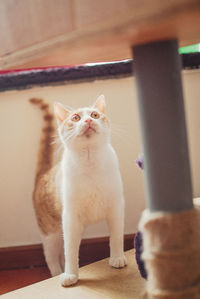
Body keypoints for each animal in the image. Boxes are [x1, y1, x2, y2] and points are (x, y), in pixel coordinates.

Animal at [30, 95, 127, 288]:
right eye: (75, 118)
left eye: (95, 114)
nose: (88, 120)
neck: (90, 162)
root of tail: (43, 174)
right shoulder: (70, 218)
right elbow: (71, 251)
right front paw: (70, 274)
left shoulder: (116, 207)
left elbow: (116, 237)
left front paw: (117, 258)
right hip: (50, 232)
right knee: (52, 256)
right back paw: (56, 273)